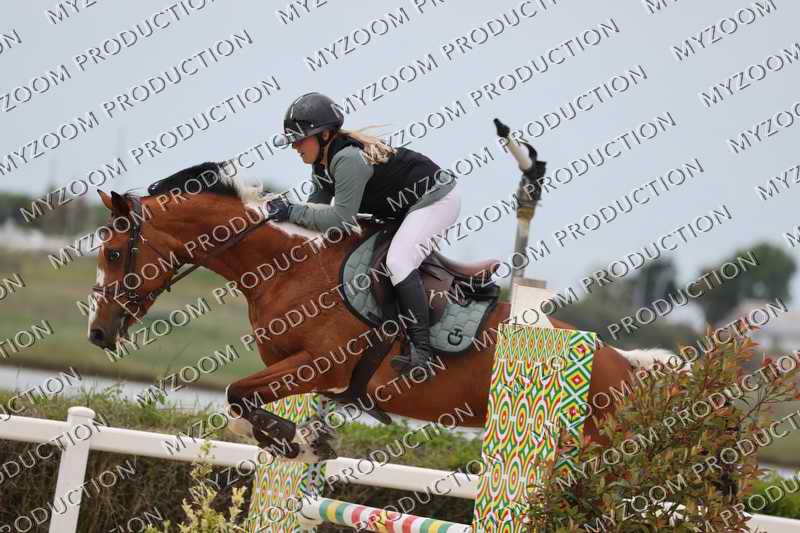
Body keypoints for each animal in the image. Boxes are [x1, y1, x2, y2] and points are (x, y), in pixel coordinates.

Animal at [86, 162, 673, 463]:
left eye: (113, 254)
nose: (97, 334)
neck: (288, 267)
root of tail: (628, 368)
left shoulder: (318, 365)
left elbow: (236, 394)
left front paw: (295, 438)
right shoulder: (296, 369)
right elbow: (239, 405)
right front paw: (305, 440)